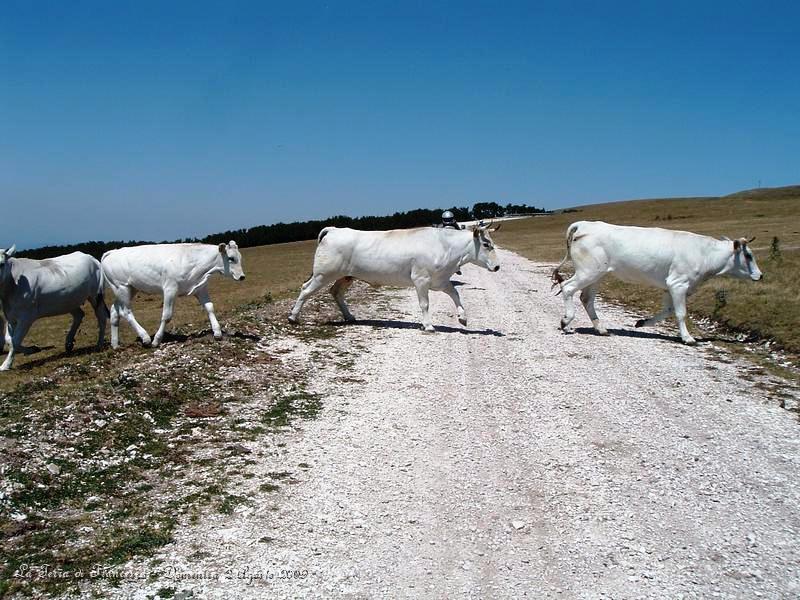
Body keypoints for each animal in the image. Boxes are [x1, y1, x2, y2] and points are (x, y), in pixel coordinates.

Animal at [104, 241, 247, 350]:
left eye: (240, 257)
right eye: (231, 258)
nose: (242, 276)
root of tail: (112, 252)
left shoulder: (200, 288)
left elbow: (210, 308)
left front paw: (217, 332)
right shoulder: (170, 289)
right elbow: (167, 315)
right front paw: (157, 340)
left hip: (130, 289)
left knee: (114, 311)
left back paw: (115, 345)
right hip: (122, 287)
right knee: (126, 311)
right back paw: (145, 337)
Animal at [288, 224, 500, 330]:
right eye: (486, 244)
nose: (497, 266)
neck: (445, 247)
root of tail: (334, 230)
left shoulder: (440, 281)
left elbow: (456, 294)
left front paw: (463, 318)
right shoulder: (421, 279)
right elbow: (425, 304)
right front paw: (428, 325)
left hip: (346, 276)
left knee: (336, 292)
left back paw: (349, 316)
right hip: (323, 274)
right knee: (305, 290)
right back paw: (293, 317)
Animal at [552, 221, 764, 344]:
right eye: (748, 255)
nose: (760, 275)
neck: (705, 254)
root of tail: (585, 224)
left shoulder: (670, 287)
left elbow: (668, 310)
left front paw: (642, 322)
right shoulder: (678, 283)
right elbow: (680, 313)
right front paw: (688, 338)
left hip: (597, 275)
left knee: (586, 298)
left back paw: (601, 329)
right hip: (588, 271)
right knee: (568, 288)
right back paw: (566, 321)